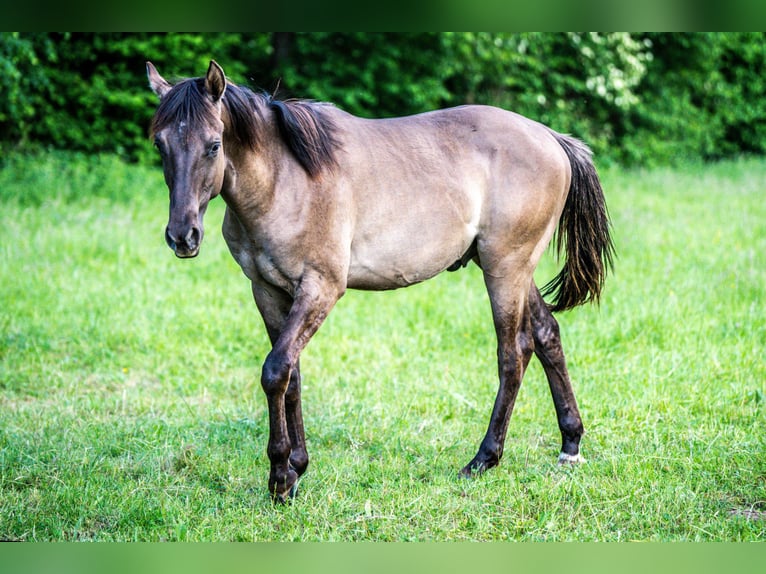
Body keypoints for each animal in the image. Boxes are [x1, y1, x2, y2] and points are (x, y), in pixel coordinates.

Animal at [147, 59, 616, 504]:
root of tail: (551, 138)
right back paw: (570, 444)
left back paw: (483, 459)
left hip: (506, 269)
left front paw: (280, 477)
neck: (286, 180)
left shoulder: (320, 288)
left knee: (513, 353)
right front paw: (297, 468)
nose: (182, 236)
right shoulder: (267, 291)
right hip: (513, 269)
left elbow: (275, 370)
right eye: (160, 143)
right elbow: (291, 375)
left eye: (214, 145)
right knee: (547, 335)